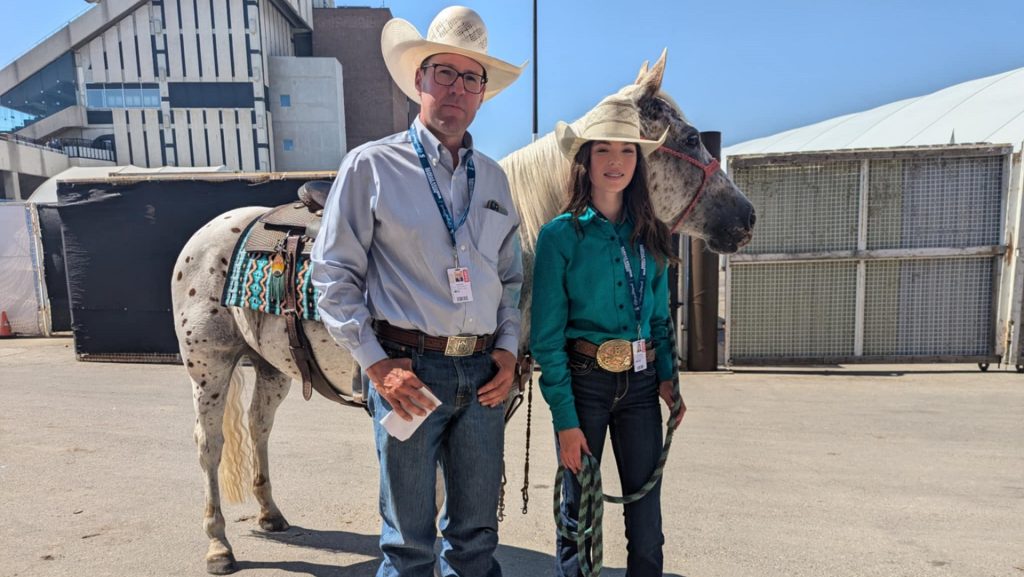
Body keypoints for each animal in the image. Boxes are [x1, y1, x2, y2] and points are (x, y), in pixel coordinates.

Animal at [172, 52, 757, 573]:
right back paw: (218, 546)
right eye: (689, 139)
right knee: (209, 446)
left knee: (259, 427)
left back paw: (270, 514)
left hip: (269, 367)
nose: (747, 217)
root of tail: (214, 231)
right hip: (209, 368)